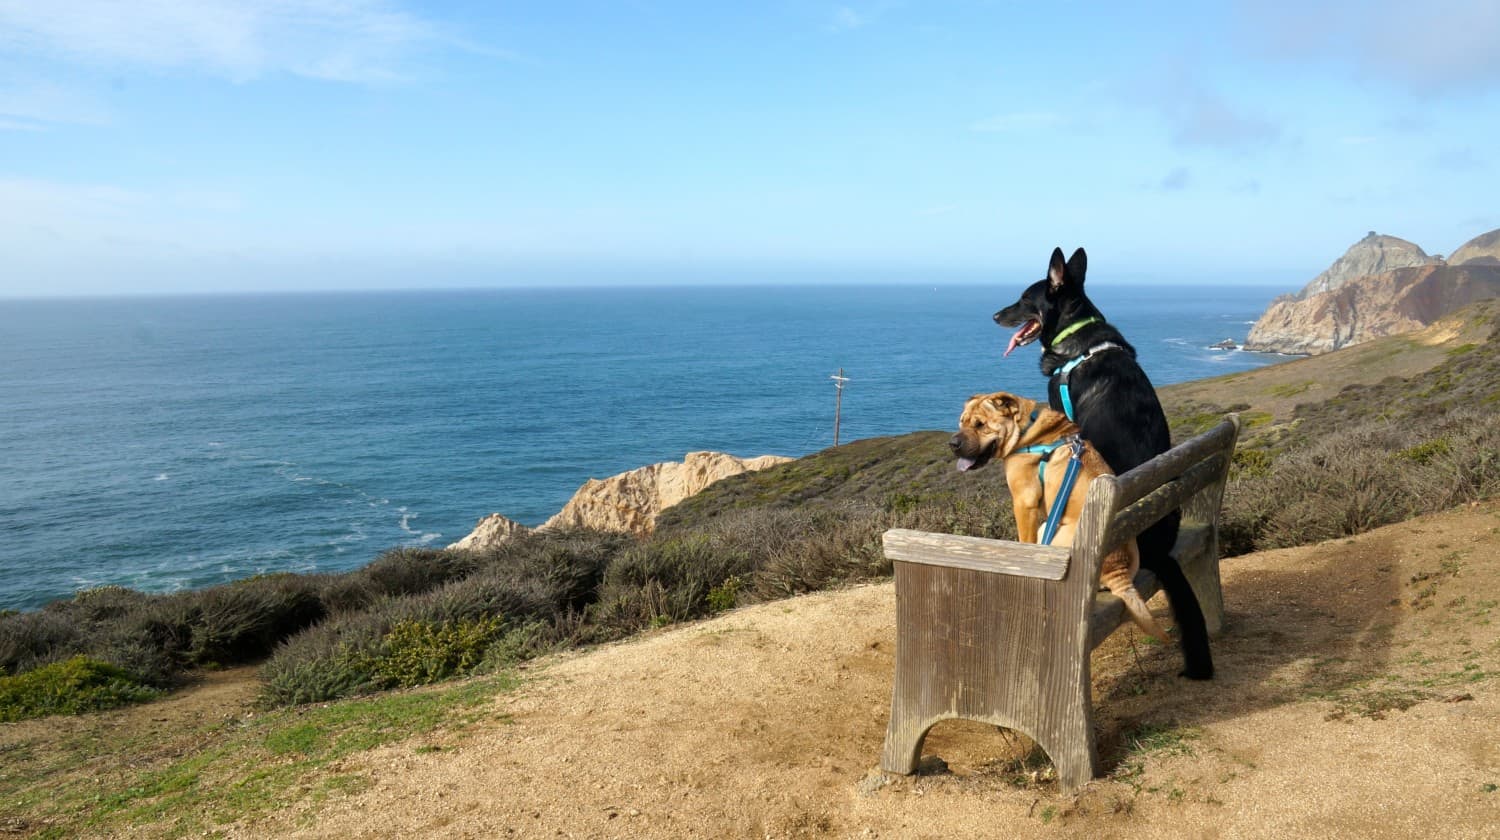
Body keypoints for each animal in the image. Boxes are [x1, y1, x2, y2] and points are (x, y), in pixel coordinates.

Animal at [948, 390, 1170, 639]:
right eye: (962, 422)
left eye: (980, 425)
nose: (953, 443)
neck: (1025, 429)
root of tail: (1118, 569)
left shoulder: (1023, 502)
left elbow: (1024, 540)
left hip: (1050, 530)